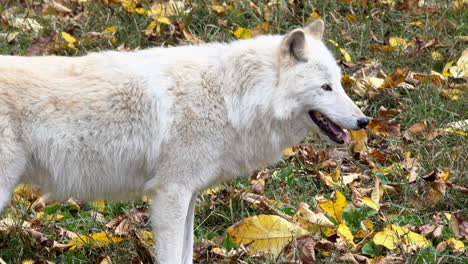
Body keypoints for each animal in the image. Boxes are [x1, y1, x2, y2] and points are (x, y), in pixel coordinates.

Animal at [0, 20, 370, 264]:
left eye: (339, 83)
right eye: (325, 87)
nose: (364, 121)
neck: (230, 97)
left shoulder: (187, 193)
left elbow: (186, 253)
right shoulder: (171, 194)